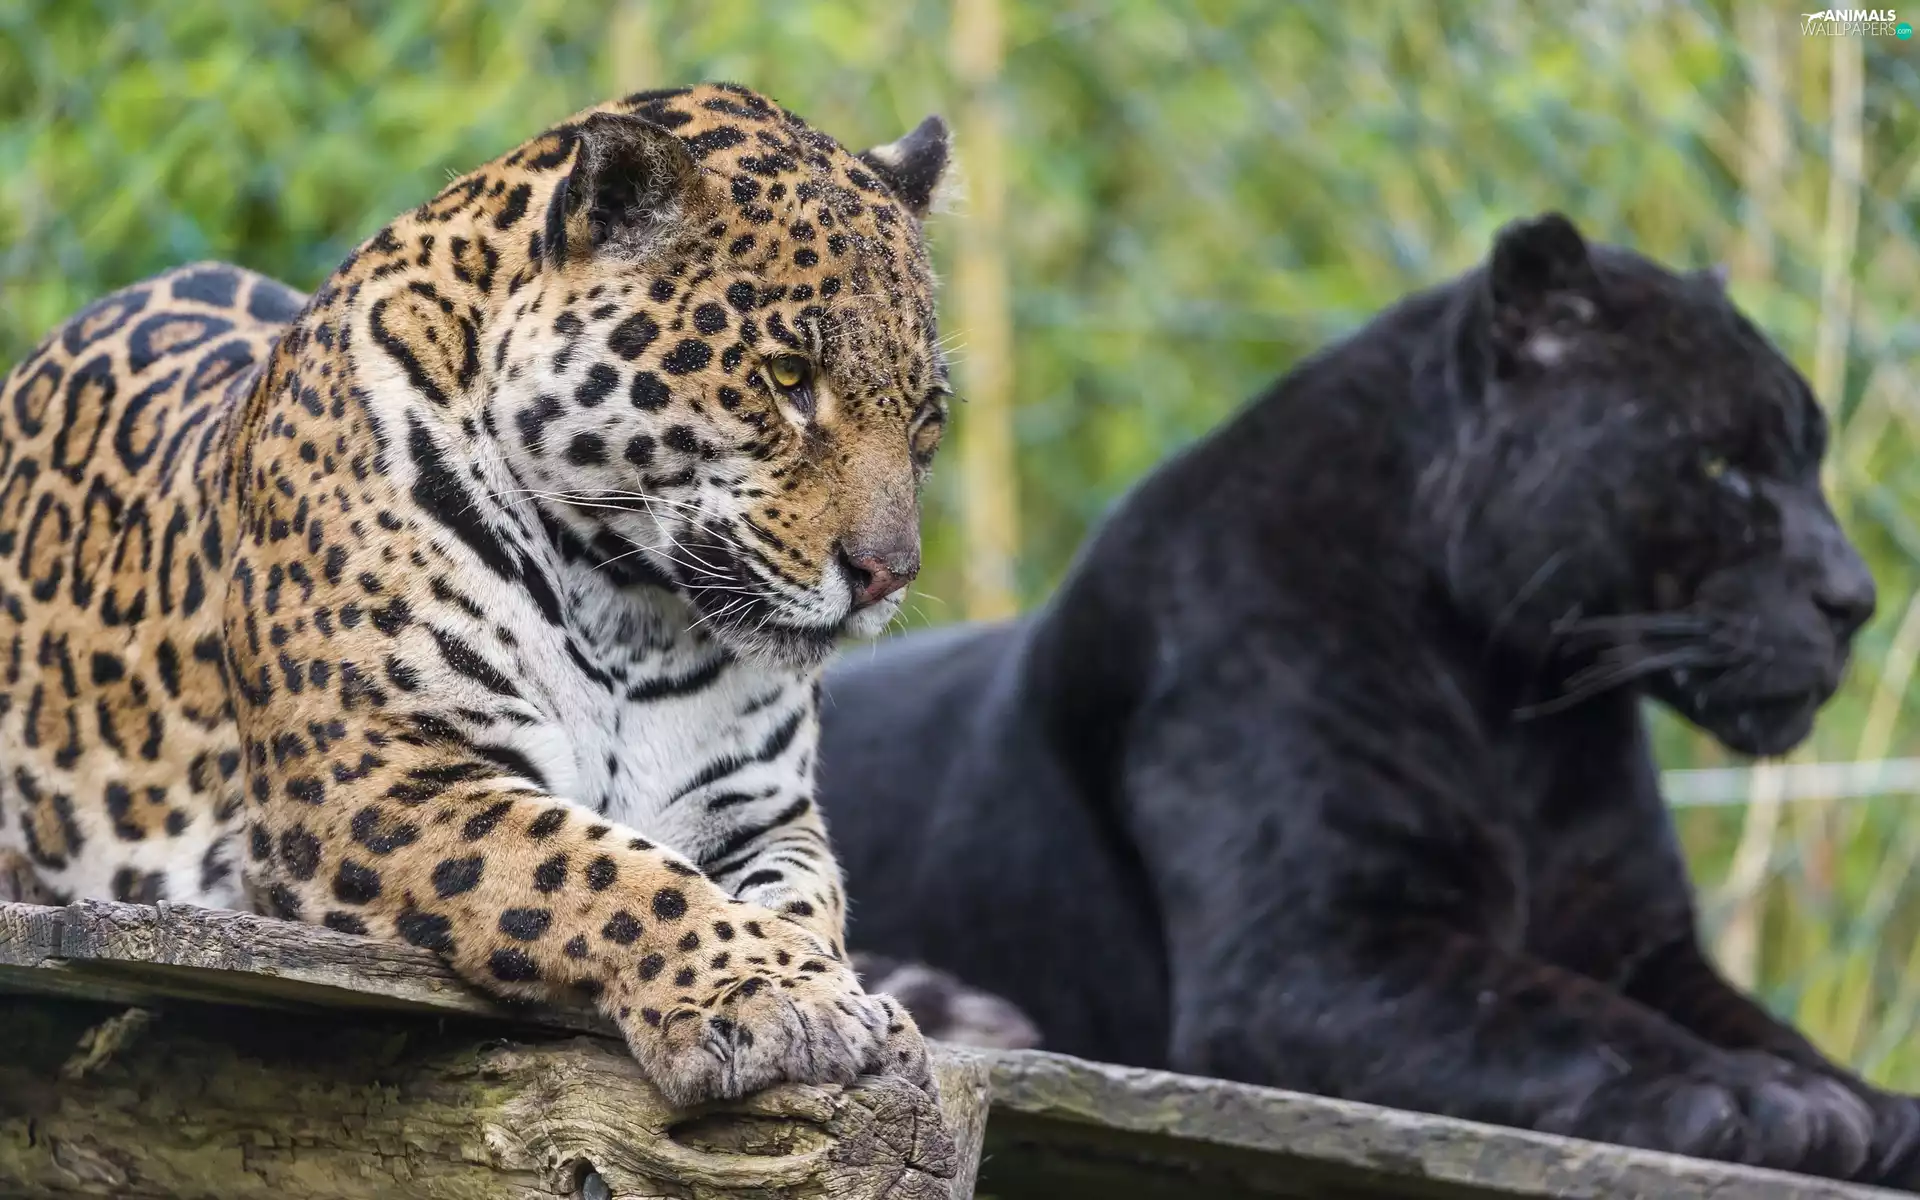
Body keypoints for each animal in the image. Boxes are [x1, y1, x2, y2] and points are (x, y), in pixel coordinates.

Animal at [0, 81, 957, 1108]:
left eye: (926, 419)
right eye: (786, 377)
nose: (887, 574)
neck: (635, 610)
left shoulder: (760, 812)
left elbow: (804, 897)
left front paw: (848, 995)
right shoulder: (369, 773)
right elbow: (604, 869)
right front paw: (775, 992)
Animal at [817, 213, 1920, 1187]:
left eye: (1812, 460)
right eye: (1723, 466)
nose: (1856, 600)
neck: (1517, 705)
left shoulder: (1640, 942)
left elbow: (1751, 1023)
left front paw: (1869, 1105)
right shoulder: (1318, 950)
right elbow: (1563, 1018)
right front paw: (1762, 1101)